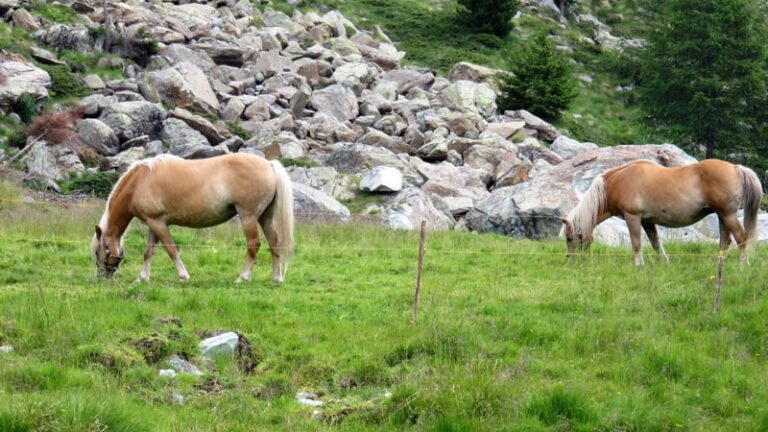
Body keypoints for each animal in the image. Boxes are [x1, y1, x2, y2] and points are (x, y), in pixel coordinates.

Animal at [91, 154, 294, 284]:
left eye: (96, 252)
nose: (102, 277)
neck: (140, 181)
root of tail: (268, 164)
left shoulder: (158, 223)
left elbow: (171, 249)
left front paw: (183, 276)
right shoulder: (153, 223)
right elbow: (148, 252)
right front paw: (142, 278)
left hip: (248, 217)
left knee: (253, 245)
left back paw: (242, 277)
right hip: (265, 217)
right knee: (274, 243)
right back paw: (277, 278)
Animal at [564, 159, 760, 264]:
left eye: (568, 238)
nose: (570, 260)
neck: (618, 182)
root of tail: (736, 167)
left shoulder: (632, 217)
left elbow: (636, 243)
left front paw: (639, 265)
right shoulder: (647, 221)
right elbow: (655, 243)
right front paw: (666, 263)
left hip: (728, 215)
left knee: (741, 238)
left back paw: (743, 264)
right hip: (722, 216)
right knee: (725, 241)